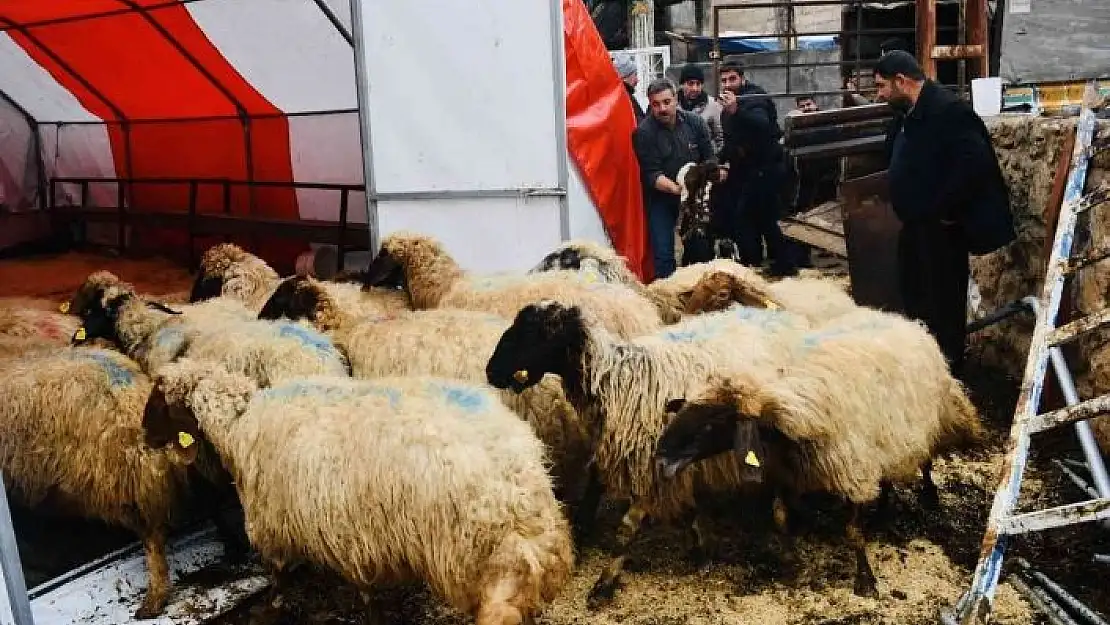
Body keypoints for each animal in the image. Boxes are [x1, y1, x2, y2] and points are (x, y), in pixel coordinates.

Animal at [144, 361, 577, 625]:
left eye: (158, 401)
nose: (144, 438)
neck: (237, 423)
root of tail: (521, 492)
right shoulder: (352, 533)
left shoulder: (280, 521)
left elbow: (282, 578)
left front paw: (275, 608)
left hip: (478, 562)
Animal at [483, 299, 808, 608]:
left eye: (535, 332)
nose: (491, 371)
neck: (618, 381)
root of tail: (786, 317)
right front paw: (700, 546)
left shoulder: (653, 462)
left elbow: (628, 527)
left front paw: (604, 582)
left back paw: (782, 525)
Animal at [652, 308, 985, 595]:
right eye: (685, 409)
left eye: (714, 423)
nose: (661, 458)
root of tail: (902, 319)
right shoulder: (785, 473)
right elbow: (780, 517)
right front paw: (792, 565)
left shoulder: (853, 471)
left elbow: (852, 532)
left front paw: (865, 582)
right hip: (884, 440)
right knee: (886, 474)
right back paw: (882, 511)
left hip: (927, 422)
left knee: (926, 459)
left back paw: (929, 495)